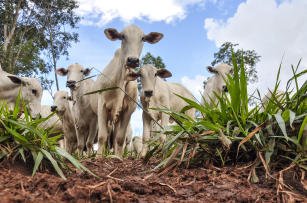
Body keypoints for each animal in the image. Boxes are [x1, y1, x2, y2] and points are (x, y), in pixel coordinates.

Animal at [91, 24, 164, 156]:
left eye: (143, 38)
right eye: (122, 36)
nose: (133, 60)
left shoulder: (128, 109)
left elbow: (120, 138)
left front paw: (118, 157)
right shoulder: (102, 106)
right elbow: (102, 137)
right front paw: (99, 157)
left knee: (115, 138)